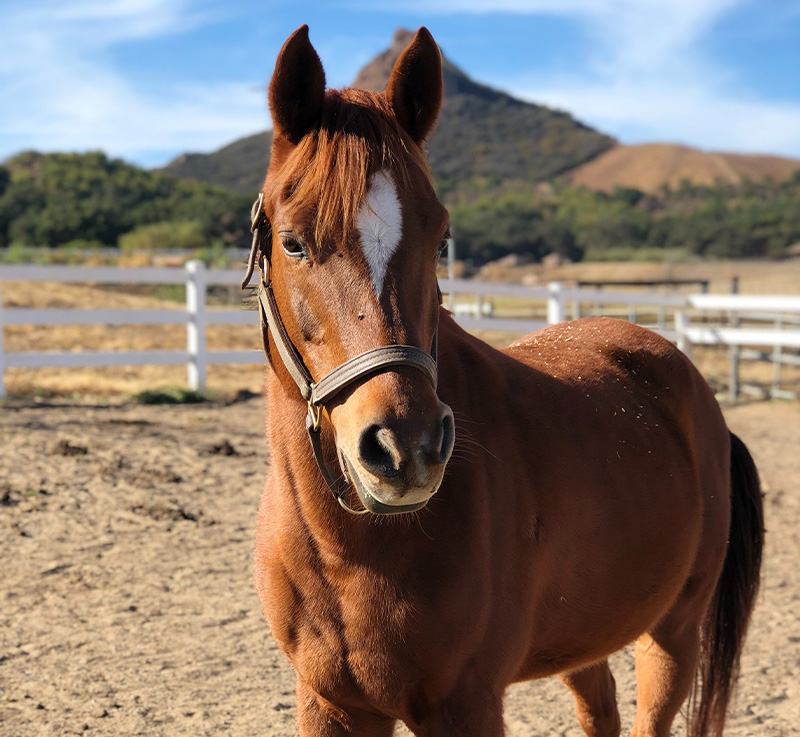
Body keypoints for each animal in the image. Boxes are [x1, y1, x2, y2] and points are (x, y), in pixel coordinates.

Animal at [249, 25, 764, 737]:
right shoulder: (329, 704)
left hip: (672, 635)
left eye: (440, 239)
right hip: (588, 635)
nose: (406, 449)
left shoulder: (465, 703)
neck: (350, 553)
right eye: (294, 241)